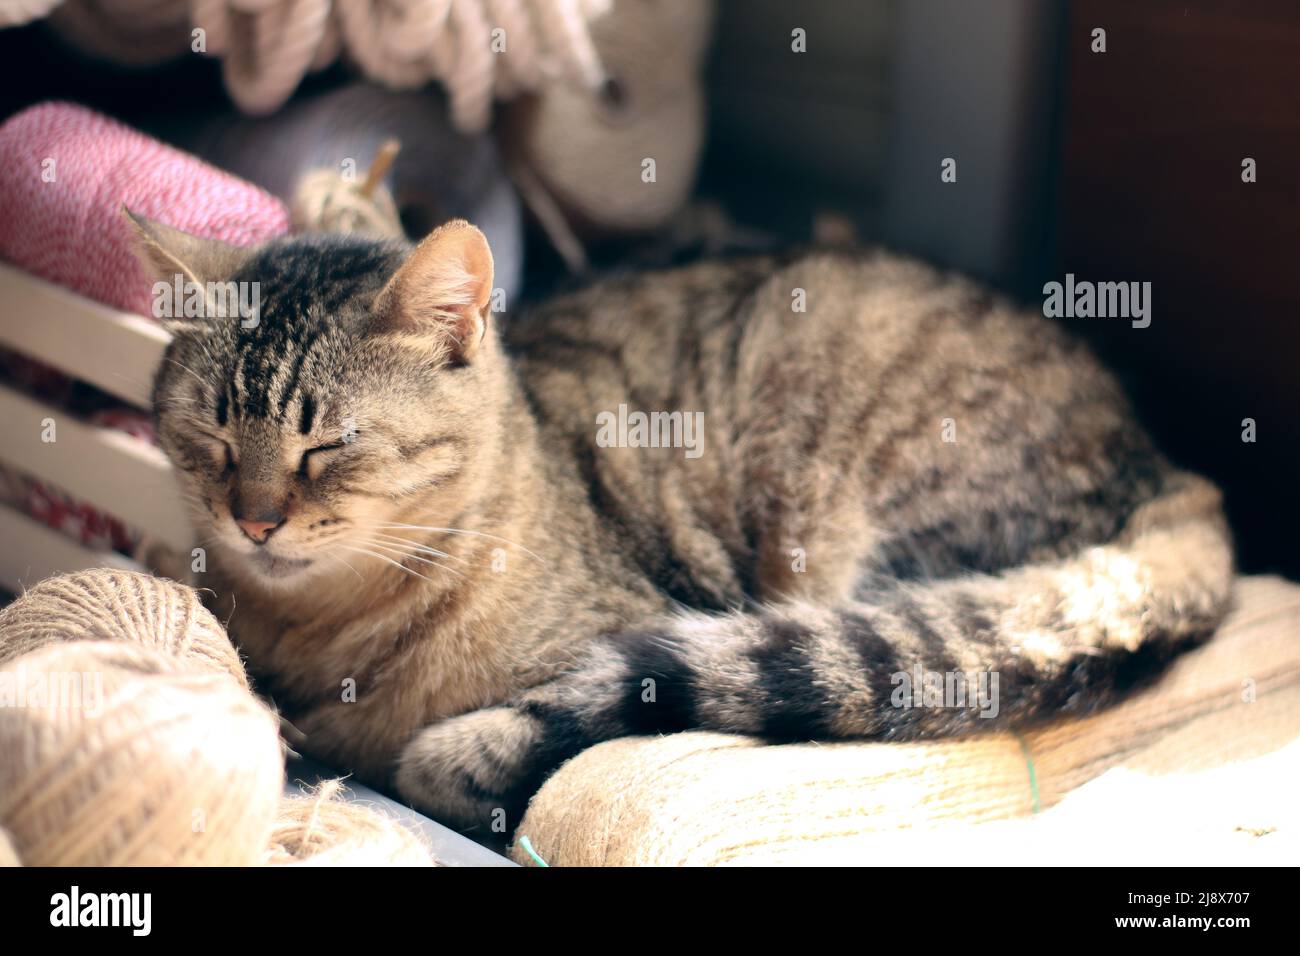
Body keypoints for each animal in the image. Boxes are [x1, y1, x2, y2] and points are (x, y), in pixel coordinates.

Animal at [131, 213, 1237, 832]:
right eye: (212, 436)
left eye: (328, 446)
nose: (254, 521)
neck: (318, 634)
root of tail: (1173, 470)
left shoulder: (620, 634)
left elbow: (553, 713)